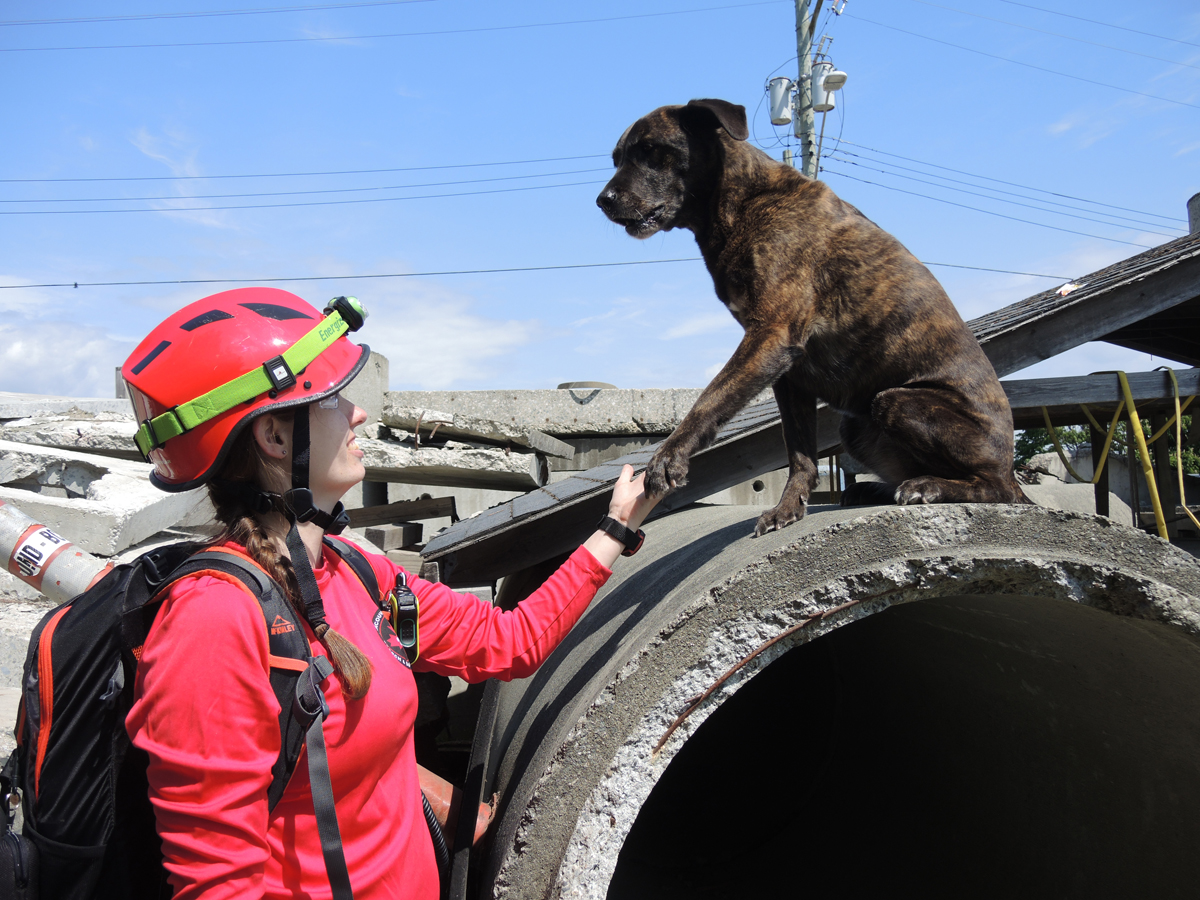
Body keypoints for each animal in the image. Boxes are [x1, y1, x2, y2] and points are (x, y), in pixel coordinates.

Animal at [595, 98, 1027, 535]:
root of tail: (1008, 458)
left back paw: (930, 486)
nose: (603, 200)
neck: (745, 201)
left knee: (999, 488)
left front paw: (669, 457)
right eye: (617, 159)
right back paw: (877, 489)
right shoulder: (788, 371)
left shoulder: (771, 335)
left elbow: (709, 399)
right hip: (856, 426)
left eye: (651, 150)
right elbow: (800, 455)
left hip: (897, 403)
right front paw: (788, 508)